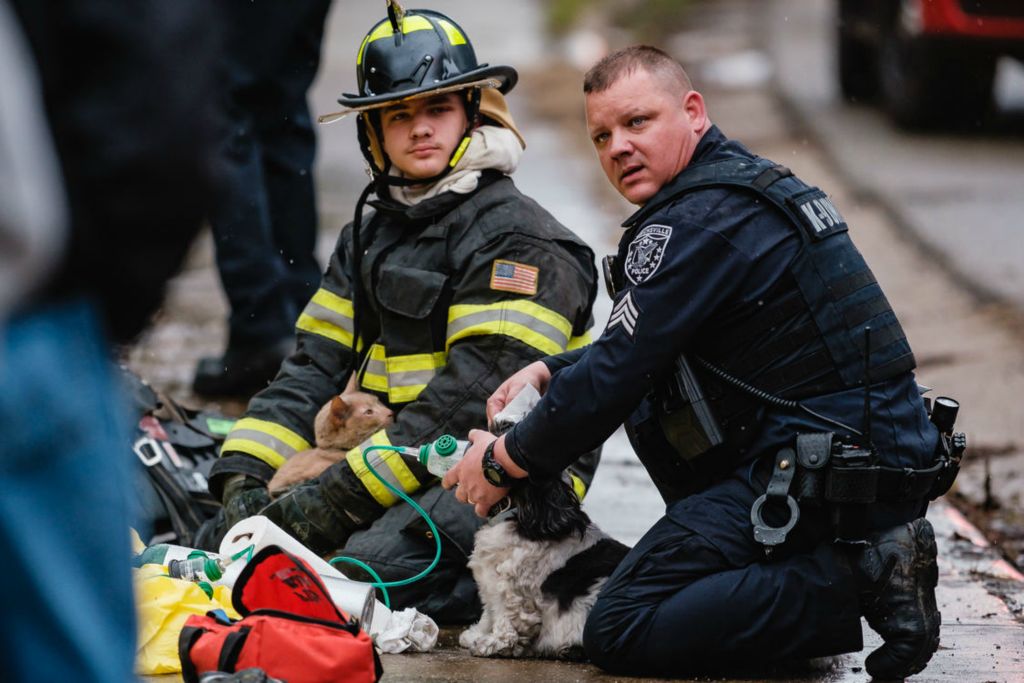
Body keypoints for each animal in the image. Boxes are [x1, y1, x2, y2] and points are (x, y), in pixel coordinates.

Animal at [458, 473, 630, 659]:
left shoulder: (513, 589)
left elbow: (506, 620)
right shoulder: (490, 583)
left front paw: (493, 644)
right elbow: (489, 613)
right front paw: (476, 634)